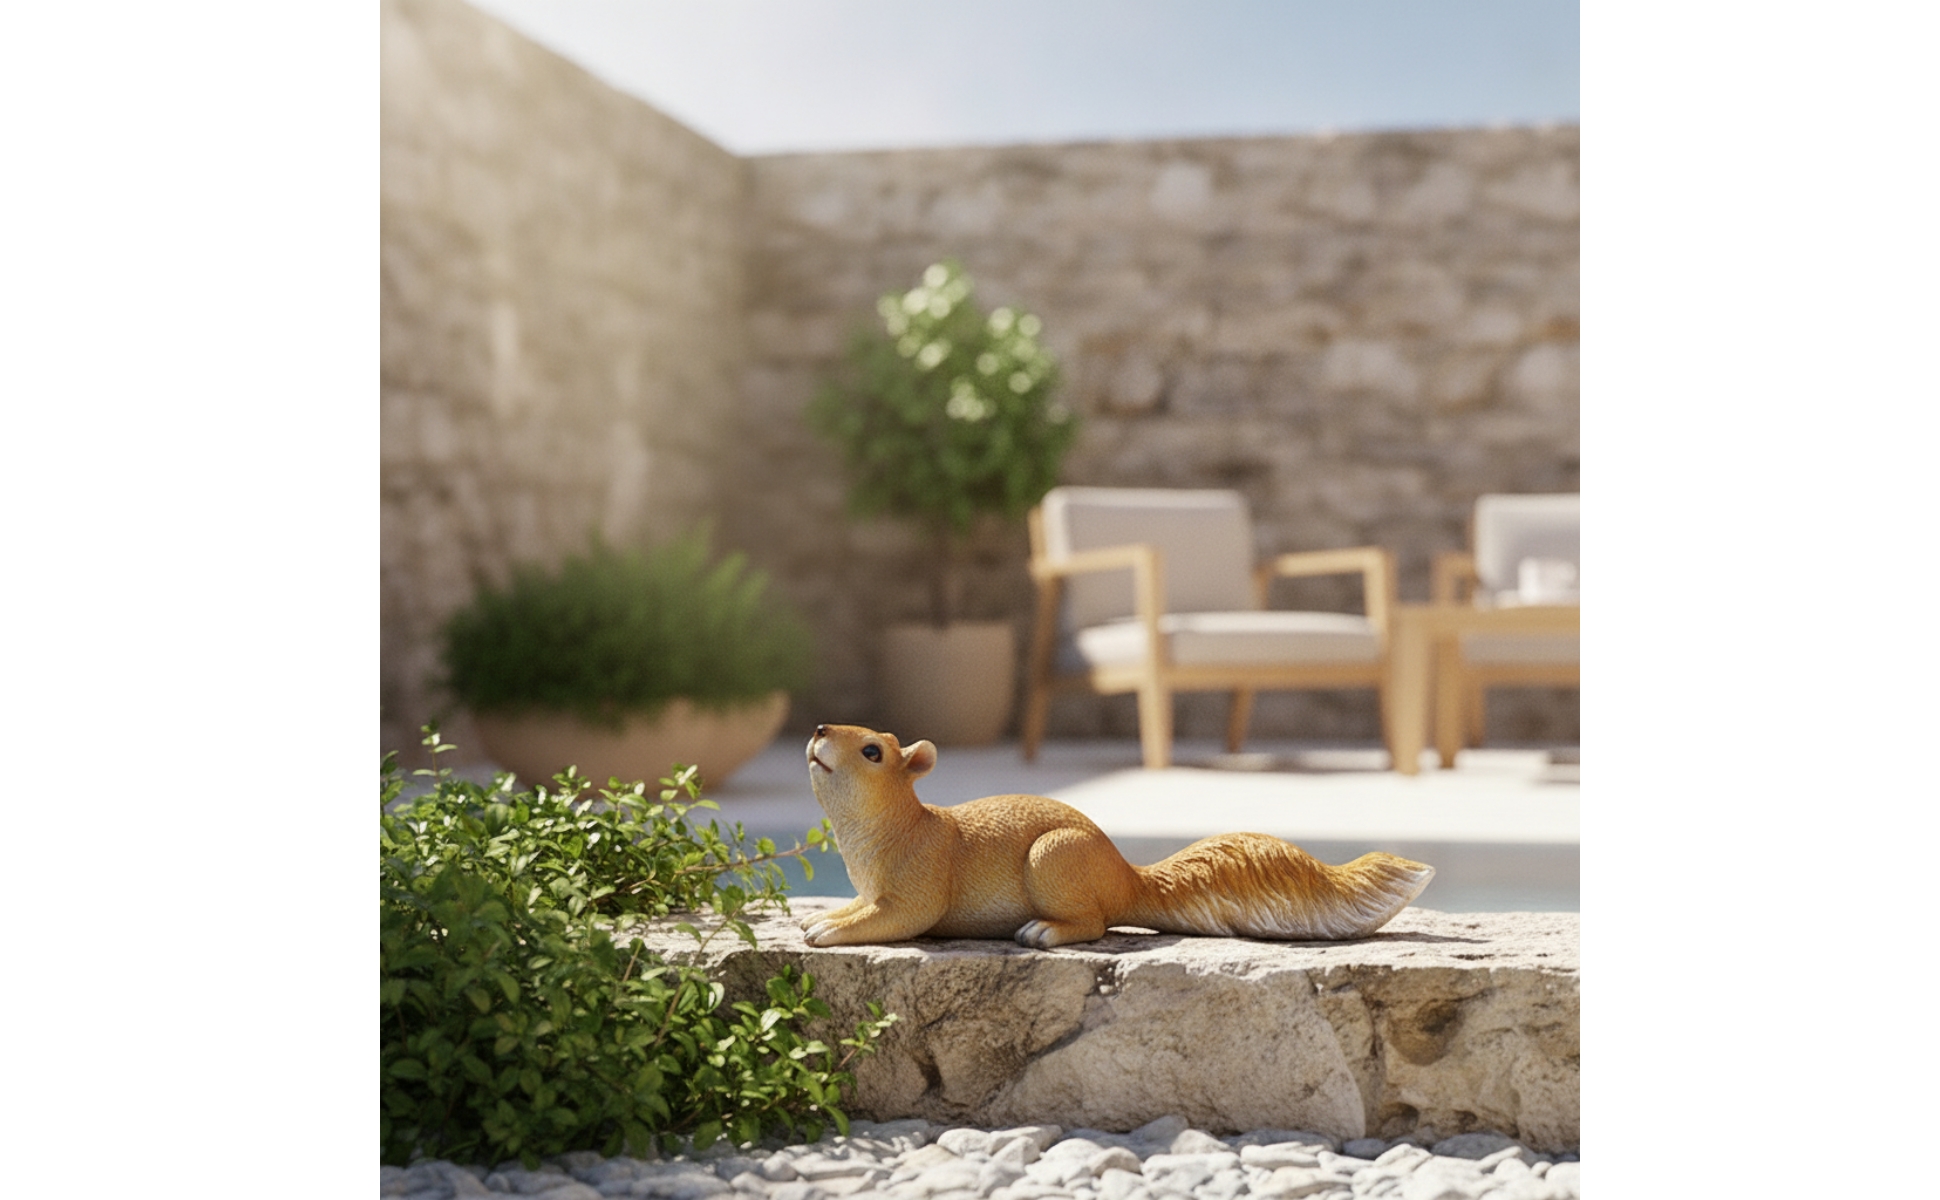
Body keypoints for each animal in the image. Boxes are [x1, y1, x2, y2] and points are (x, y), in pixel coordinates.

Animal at [801, 723, 1435, 949]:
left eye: (873, 751)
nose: (819, 728)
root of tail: (1126, 878)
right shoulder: (871, 885)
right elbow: (862, 904)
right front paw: (824, 917)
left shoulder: (920, 879)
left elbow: (901, 916)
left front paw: (829, 932)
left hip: (1053, 859)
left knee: (1095, 923)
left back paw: (1045, 932)